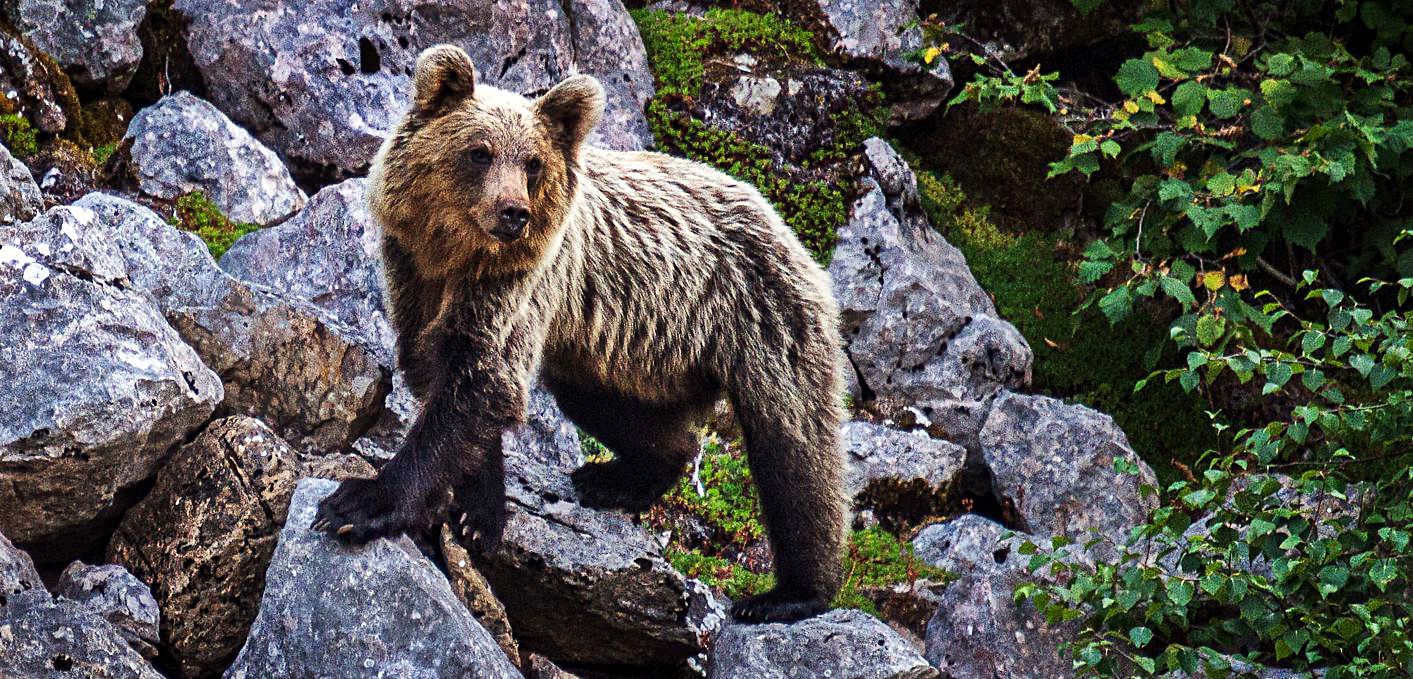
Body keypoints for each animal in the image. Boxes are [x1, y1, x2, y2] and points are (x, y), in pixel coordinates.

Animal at [311, 44, 847, 623]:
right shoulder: (413, 273)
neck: (454, 254)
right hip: (627, 354)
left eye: (532, 162)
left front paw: (359, 503)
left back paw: (790, 593)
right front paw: (479, 509)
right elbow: (444, 373)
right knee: (617, 410)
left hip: (763, 315)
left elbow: (480, 378)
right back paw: (617, 478)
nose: (513, 213)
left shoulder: (517, 281)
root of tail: (781, 219)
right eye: (479, 152)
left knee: (794, 449)